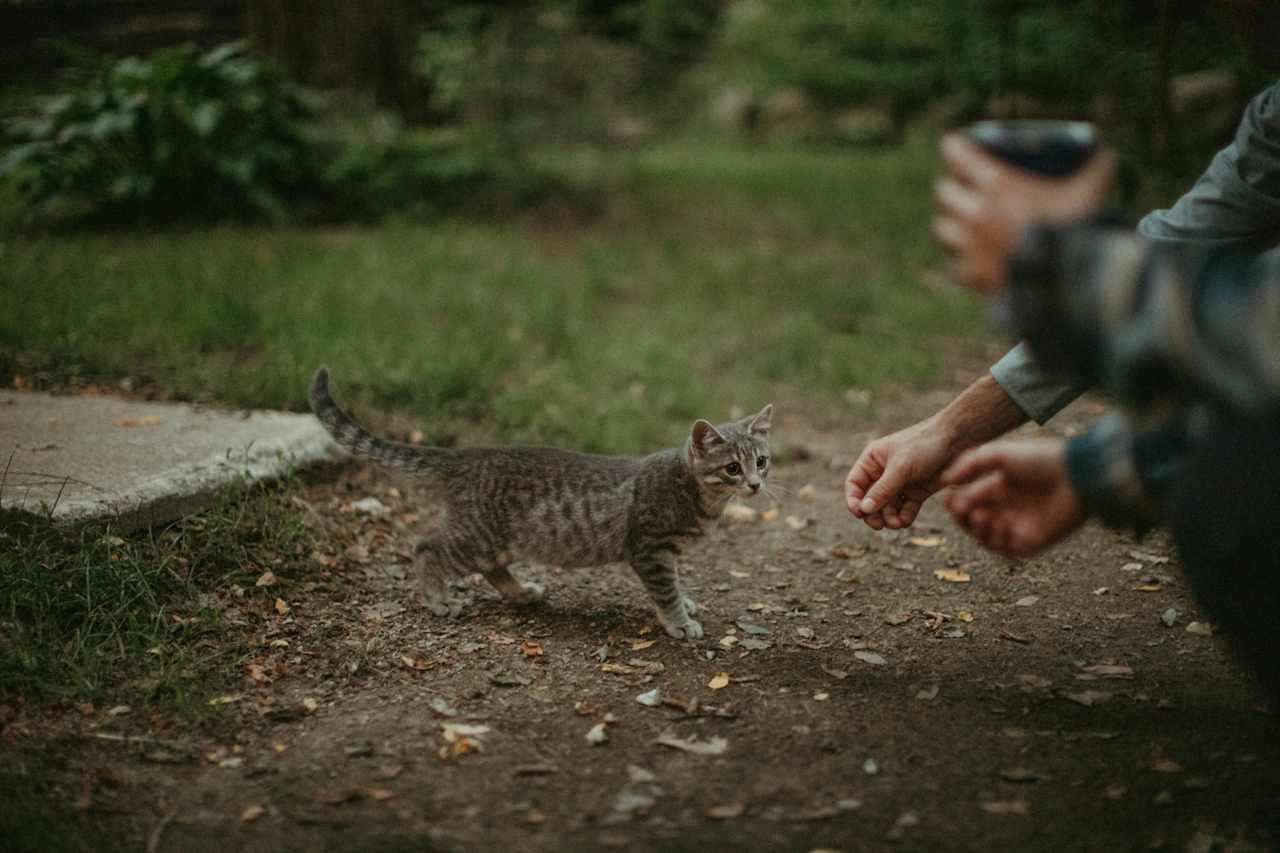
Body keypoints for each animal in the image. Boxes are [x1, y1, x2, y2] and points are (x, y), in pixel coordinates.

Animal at [309, 366, 768, 637]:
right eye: (732, 468)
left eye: (761, 461)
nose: (755, 485)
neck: (699, 497)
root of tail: (470, 454)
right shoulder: (650, 549)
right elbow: (665, 590)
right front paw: (679, 622)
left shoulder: (665, 553)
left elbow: (676, 582)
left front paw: (685, 604)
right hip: (478, 537)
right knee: (426, 548)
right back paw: (439, 600)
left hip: (501, 540)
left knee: (490, 567)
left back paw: (520, 592)